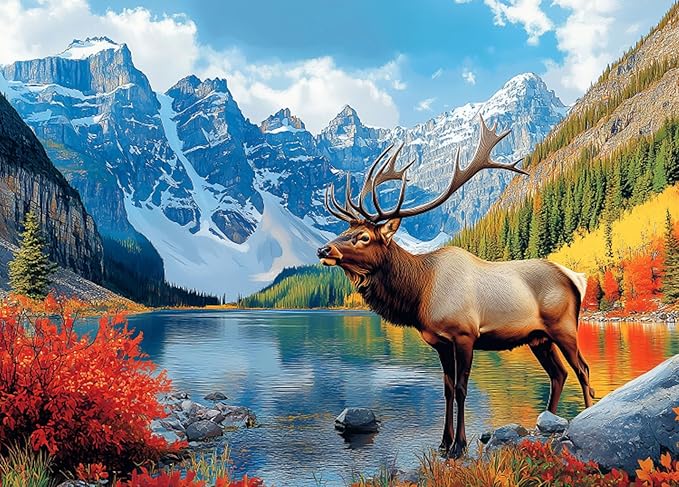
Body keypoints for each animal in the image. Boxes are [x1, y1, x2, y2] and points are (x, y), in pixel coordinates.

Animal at [317, 116, 594, 458]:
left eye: (364, 237)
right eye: (346, 230)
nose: (323, 249)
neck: (419, 293)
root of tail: (575, 278)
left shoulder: (465, 334)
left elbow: (461, 389)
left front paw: (459, 446)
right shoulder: (439, 341)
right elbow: (447, 390)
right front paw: (443, 442)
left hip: (564, 326)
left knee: (582, 369)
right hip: (537, 337)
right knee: (558, 374)